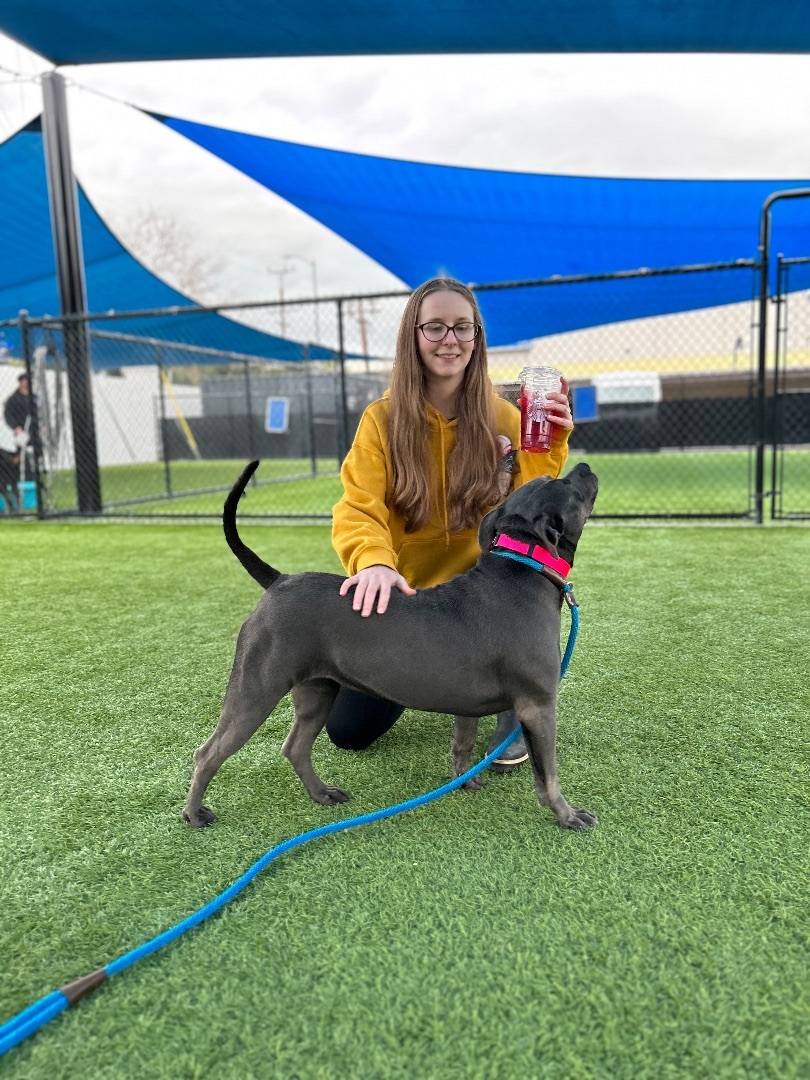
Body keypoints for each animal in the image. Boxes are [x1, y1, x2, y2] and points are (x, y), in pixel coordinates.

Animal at [185, 460, 604, 829]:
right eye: (563, 483)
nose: (584, 465)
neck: (523, 567)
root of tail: (279, 580)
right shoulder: (538, 706)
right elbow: (547, 774)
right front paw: (567, 816)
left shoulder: (467, 706)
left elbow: (462, 746)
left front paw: (465, 781)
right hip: (256, 689)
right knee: (208, 752)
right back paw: (194, 814)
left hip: (318, 690)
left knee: (296, 747)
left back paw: (321, 794)